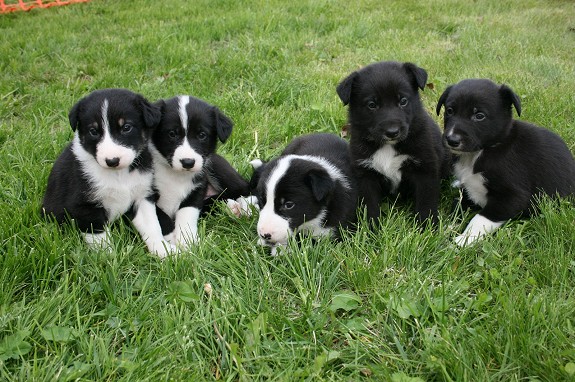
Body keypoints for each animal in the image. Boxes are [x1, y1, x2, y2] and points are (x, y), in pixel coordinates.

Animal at [41, 88, 172, 258]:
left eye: (126, 127)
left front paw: (164, 251)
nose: (112, 160)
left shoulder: (142, 196)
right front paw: (108, 260)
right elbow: (101, 239)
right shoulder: (85, 206)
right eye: (93, 131)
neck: (118, 175)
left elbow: (152, 226)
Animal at [150, 95, 249, 248]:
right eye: (172, 134)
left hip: (217, 166)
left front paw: (187, 240)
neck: (175, 175)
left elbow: (187, 213)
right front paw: (173, 238)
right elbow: (161, 216)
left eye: (202, 135)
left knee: (245, 188)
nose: (188, 162)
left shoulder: (197, 189)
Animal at [336, 60, 452, 225]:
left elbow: (426, 203)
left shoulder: (425, 170)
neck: (388, 146)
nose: (392, 132)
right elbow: (369, 205)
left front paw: (427, 226)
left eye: (403, 101)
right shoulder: (365, 174)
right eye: (372, 104)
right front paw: (371, 227)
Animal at [436, 79, 575, 246]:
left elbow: (480, 219)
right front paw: (447, 228)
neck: (478, 154)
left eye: (479, 115)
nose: (452, 140)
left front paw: (463, 240)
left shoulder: (513, 197)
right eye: (450, 111)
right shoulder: (469, 190)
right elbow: (457, 205)